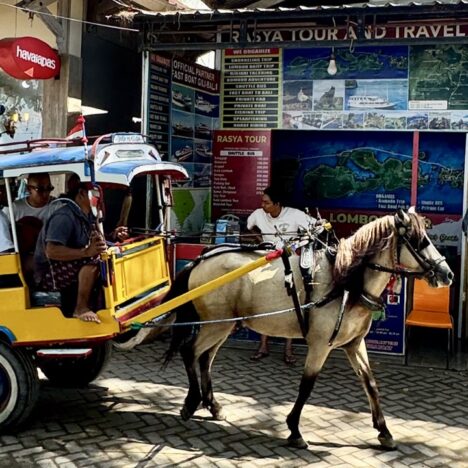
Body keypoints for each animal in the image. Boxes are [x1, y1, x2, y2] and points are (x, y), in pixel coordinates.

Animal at [162, 208, 454, 450]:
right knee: (190, 352)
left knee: (205, 359)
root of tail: (200, 260)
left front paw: (384, 431)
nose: (448, 274)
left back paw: (212, 405)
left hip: (222, 326)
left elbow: (370, 383)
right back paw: (191, 402)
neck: (345, 282)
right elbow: (307, 386)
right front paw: (294, 430)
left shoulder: (353, 344)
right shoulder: (320, 345)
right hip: (216, 324)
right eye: (419, 241)